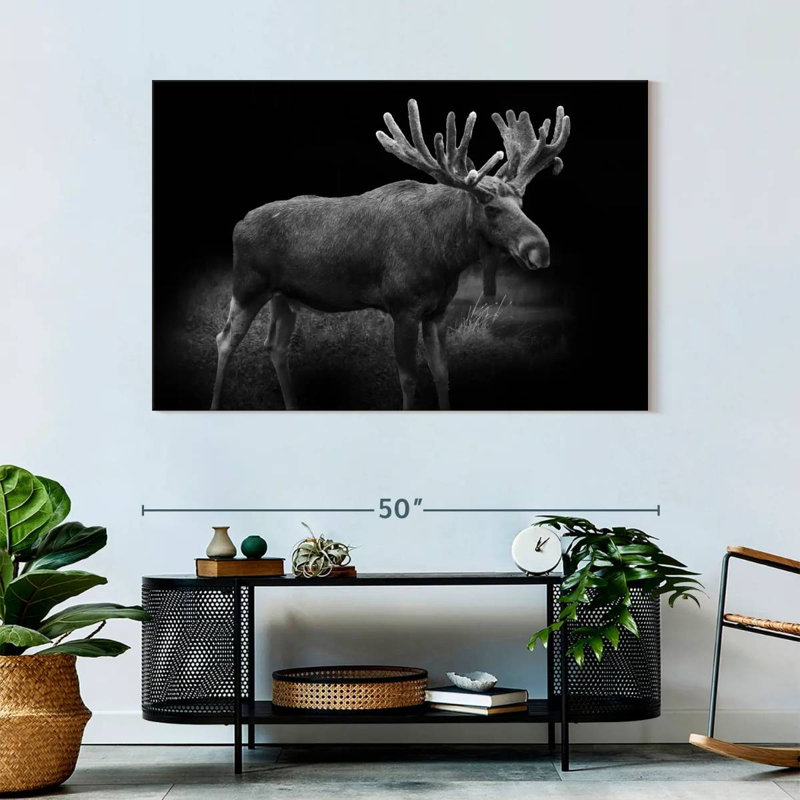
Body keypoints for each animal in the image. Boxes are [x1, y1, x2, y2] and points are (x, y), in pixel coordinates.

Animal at [211, 98, 570, 410]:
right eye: (491, 207)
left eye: (522, 203)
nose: (540, 250)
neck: (445, 258)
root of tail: (239, 224)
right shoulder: (403, 306)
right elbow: (408, 379)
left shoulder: (438, 311)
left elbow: (442, 373)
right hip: (247, 286)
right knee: (224, 338)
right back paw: (216, 404)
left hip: (284, 297)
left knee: (276, 347)